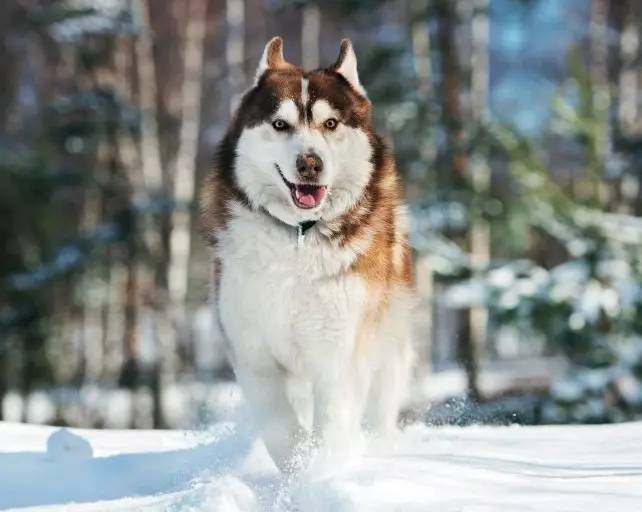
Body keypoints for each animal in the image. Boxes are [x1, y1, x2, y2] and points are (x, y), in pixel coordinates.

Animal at [198, 37, 412, 472]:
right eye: (280, 125)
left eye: (330, 124)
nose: (310, 163)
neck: (298, 239)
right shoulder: (253, 352)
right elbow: (281, 427)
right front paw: (298, 468)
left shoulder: (340, 351)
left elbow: (333, 419)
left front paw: (322, 470)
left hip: (388, 348)